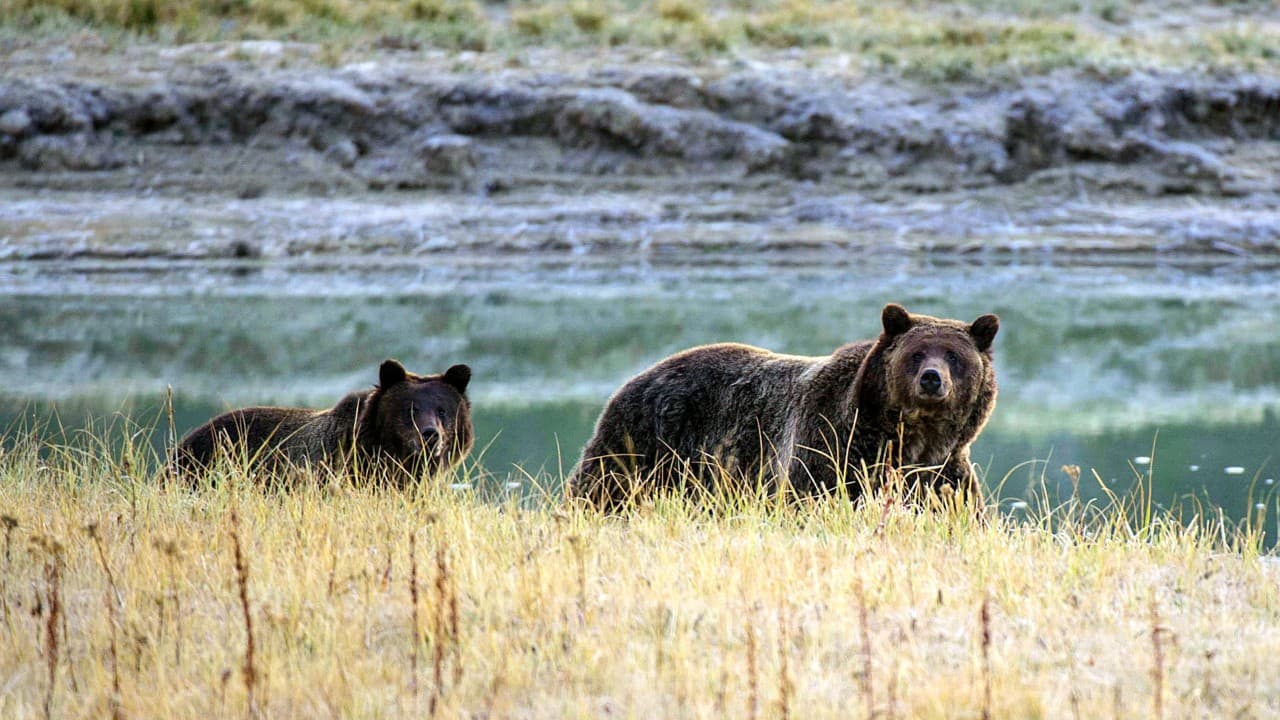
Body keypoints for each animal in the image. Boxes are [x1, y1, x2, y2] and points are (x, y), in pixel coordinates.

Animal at [567, 303, 999, 510]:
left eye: (954, 355)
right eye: (916, 353)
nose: (932, 378)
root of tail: (636, 376)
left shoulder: (941, 472)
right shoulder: (830, 449)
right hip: (644, 443)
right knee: (601, 489)